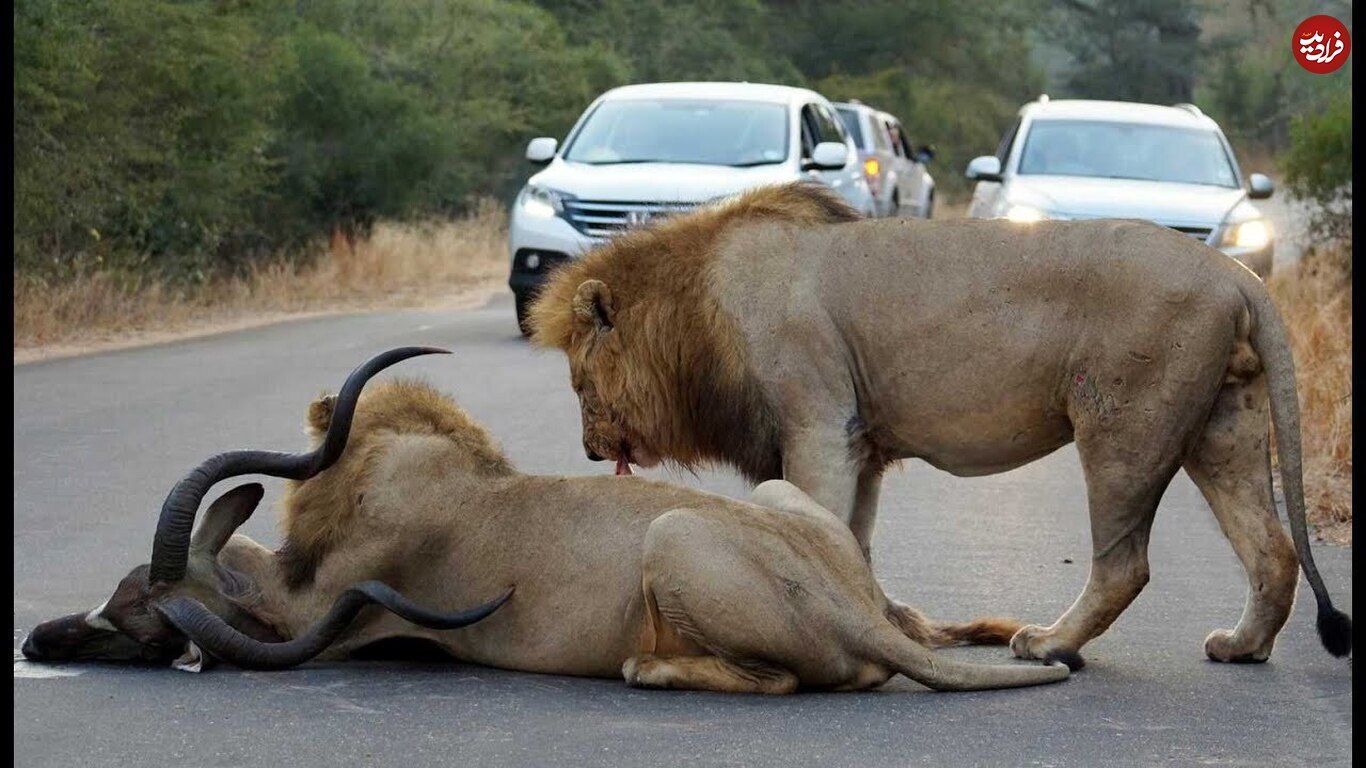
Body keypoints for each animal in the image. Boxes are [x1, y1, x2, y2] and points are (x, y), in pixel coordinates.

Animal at [24, 347, 1065, 688]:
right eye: (119, 589)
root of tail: (849, 607)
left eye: (137, 625)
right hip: (773, 499)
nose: (38, 641)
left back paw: (648, 668)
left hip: (670, 535)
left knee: (779, 680)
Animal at [527, 179, 1349, 664]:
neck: (696, 311)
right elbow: (851, 542)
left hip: (1123, 426)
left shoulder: (818, 423)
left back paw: (1048, 644)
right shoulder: (859, 441)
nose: (590, 451)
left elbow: (815, 523)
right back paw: (1241, 646)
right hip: (1221, 427)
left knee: (1125, 564)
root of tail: (1233, 272)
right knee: (1272, 549)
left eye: (578, 382)